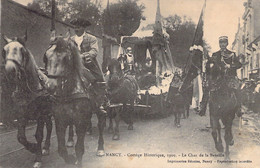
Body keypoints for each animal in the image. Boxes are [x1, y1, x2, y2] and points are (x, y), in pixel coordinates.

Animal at [2, 34, 53, 168]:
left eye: (22, 50)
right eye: (4, 50)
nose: (10, 71)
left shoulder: (40, 115)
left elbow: (38, 135)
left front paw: (38, 158)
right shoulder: (21, 114)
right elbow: (20, 138)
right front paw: (34, 148)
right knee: (50, 126)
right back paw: (46, 147)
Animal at [44, 31, 105, 167]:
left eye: (66, 58)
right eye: (46, 56)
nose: (50, 86)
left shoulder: (80, 121)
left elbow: (79, 149)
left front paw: (78, 160)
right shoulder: (60, 121)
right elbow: (61, 149)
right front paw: (70, 159)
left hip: (99, 109)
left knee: (100, 125)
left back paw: (100, 148)